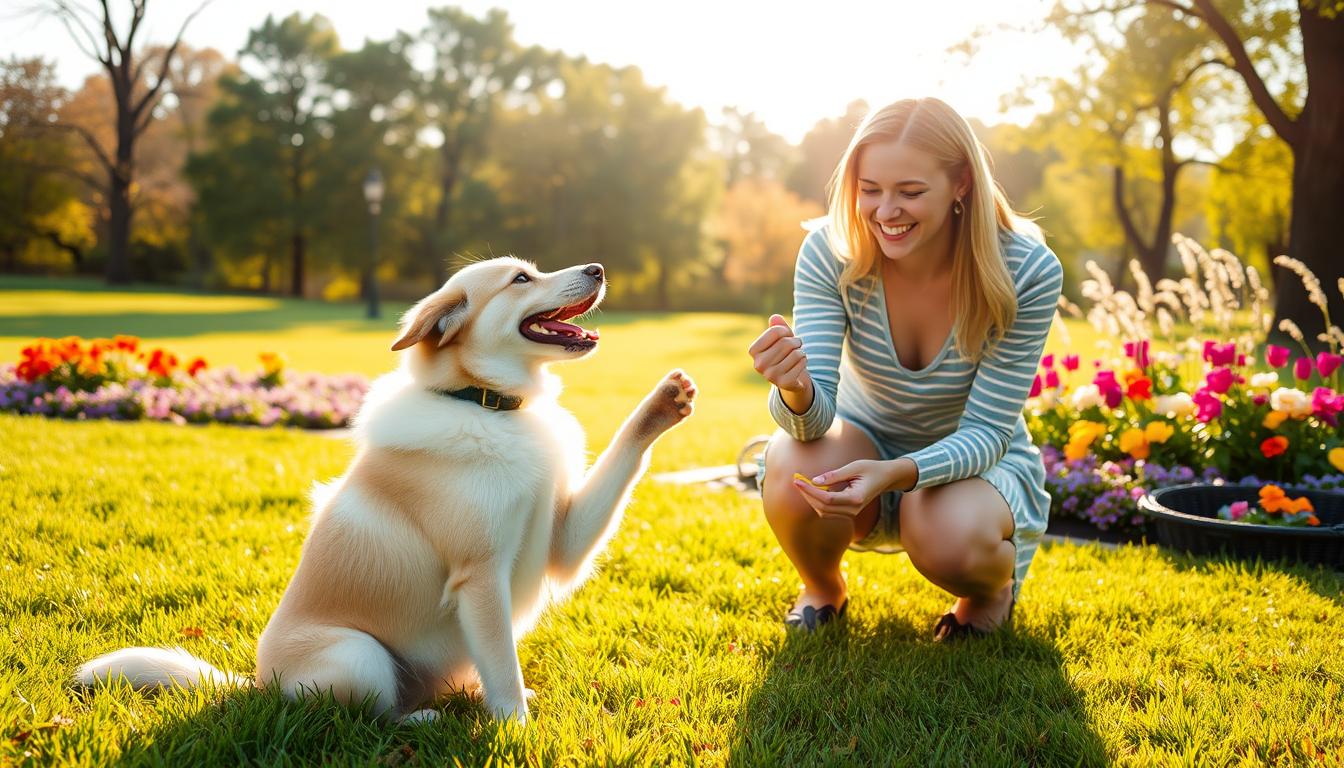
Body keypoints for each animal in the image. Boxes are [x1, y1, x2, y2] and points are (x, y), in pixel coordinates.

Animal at [77, 256, 698, 720]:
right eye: (521, 279)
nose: (597, 267)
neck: (488, 406)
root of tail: (256, 685)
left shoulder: (561, 541)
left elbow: (625, 453)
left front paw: (666, 402)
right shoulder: (480, 577)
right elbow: (502, 663)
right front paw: (516, 730)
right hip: (360, 656)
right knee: (372, 714)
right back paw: (424, 719)